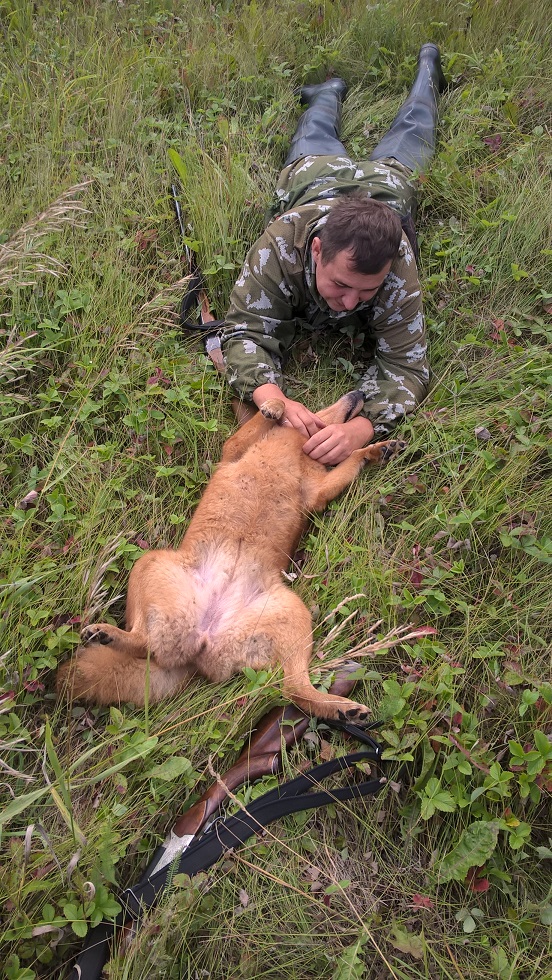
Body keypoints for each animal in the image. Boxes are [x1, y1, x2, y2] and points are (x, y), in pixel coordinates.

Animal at [57, 393, 404, 721]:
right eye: (313, 407)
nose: (359, 392)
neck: (297, 446)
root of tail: (204, 637)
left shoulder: (317, 492)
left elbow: (352, 459)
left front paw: (377, 449)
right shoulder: (237, 449)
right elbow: (264, 421)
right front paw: (275, 406)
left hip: (293, 618)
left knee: (293, 690)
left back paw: (342, 708)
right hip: (151, 565)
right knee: (146, 643)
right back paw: (107, 633)